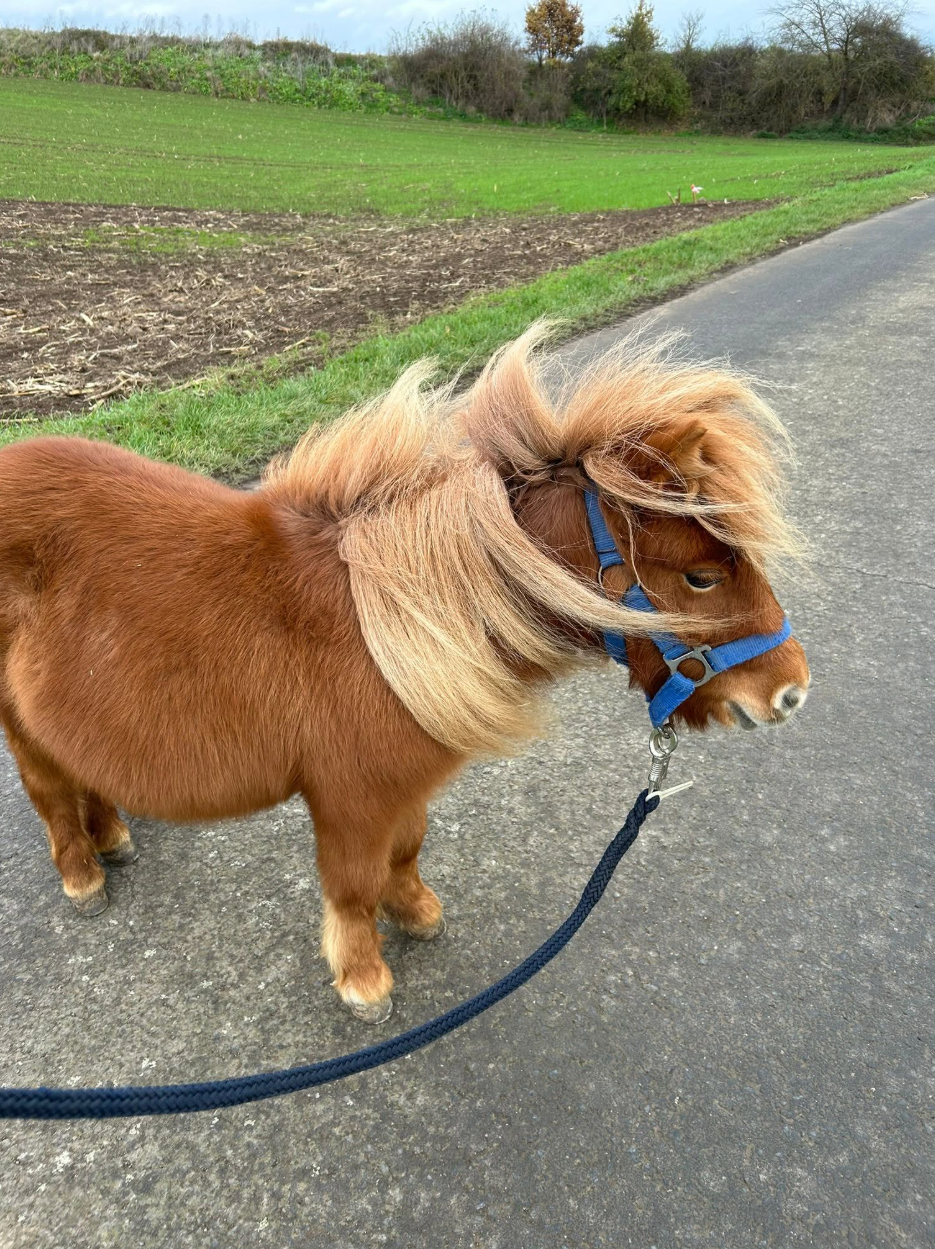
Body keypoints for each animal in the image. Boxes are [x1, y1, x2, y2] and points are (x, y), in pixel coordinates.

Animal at [0, 325, 809, 1023]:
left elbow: (406, 849)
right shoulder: (349, 799)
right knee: (49, 790)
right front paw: (364, 979)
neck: (399, 622)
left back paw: (112, 836)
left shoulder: (402, 789)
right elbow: (354, 886)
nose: (791, 691)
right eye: (702, 577)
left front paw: (415, 912)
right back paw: (83, 873)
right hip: (18, 724)